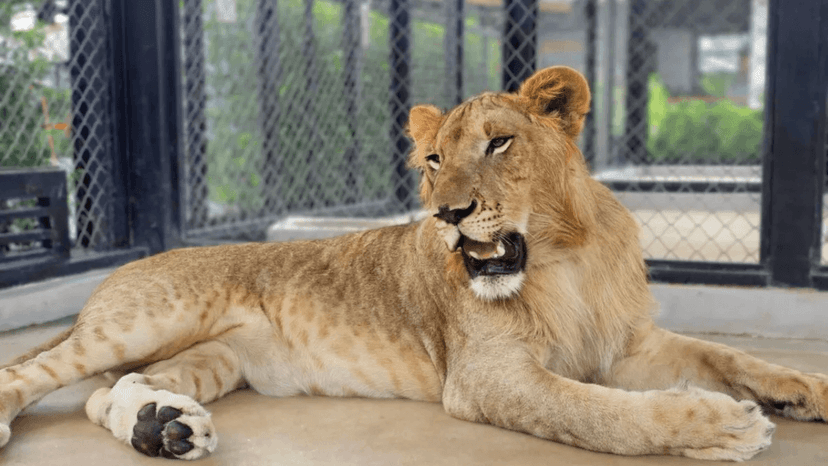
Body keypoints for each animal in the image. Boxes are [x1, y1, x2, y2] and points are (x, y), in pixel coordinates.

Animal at [0, 66, 826, 461]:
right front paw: (720, 427)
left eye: (499, 142)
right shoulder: (487, 377)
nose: (448, 215)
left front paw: (804, 389)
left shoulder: (626, 345)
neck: (566, 259)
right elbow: (599, 414)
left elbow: (724, 355)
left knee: (105, 392)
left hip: (214, 357)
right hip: (148, 320)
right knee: (35, 374)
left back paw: (162, 428)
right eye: (433, 159)